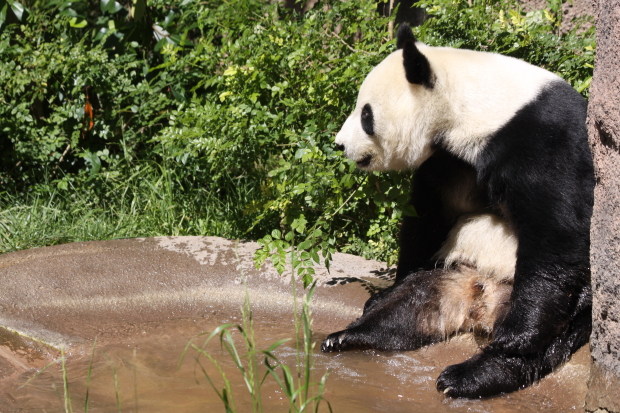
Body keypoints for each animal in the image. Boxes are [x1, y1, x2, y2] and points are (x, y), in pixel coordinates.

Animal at [322, 24, 592, 398]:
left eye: (366, 115)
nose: (340, 144)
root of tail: (481, 303)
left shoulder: (542, 141)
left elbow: (556, 229)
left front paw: (520, 335)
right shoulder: (449, 159)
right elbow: (428, 218)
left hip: (562, 300)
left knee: (550, 340)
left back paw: (471, 375)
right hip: (451, 273)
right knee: (411, 305)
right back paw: (350, 335)